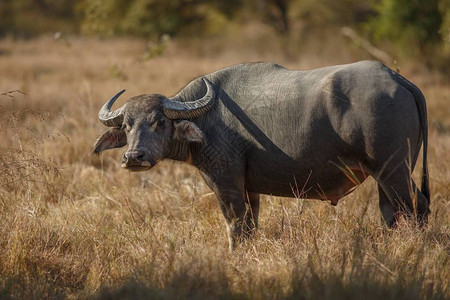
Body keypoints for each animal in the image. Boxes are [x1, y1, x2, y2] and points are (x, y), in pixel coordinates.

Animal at [93, 60, 430, 248]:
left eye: (160, 122)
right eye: (127, 125)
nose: (133, 157)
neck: (208, 117)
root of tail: (398, 80)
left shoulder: (226, 182)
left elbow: (236, 226)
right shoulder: (249, 188)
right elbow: (251, 226)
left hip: (393, 171)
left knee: (413, 209)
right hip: (388, 175)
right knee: (395, 213)